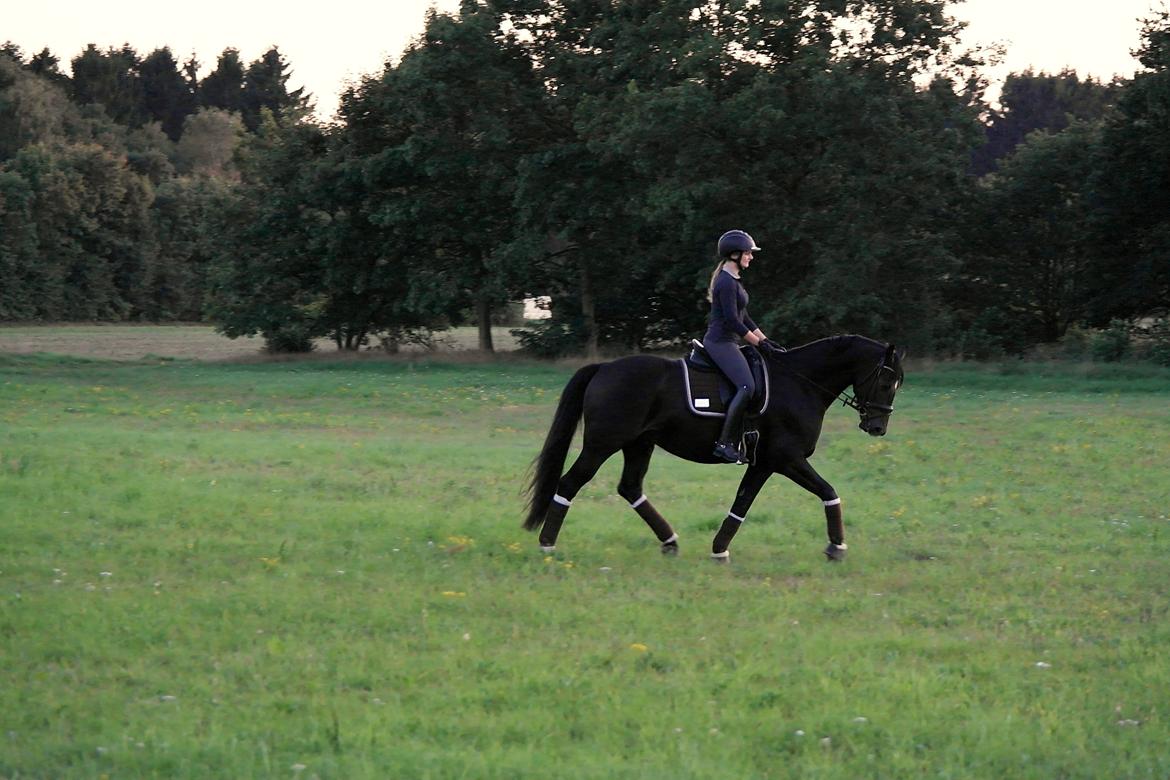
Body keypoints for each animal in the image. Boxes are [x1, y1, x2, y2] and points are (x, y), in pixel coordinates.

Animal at [524, 336, 903, 561]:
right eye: (886, 381)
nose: (877, 427)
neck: (800, 384)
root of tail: (604, 368)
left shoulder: (764, 463)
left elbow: (742, 502)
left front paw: (720, 549)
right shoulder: (786, 459)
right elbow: (828, 491)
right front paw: (837, 545)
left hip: (639, 444)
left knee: (630, 487)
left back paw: (669, 541)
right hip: (602, 444)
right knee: (569, 483)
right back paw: (547, 544)